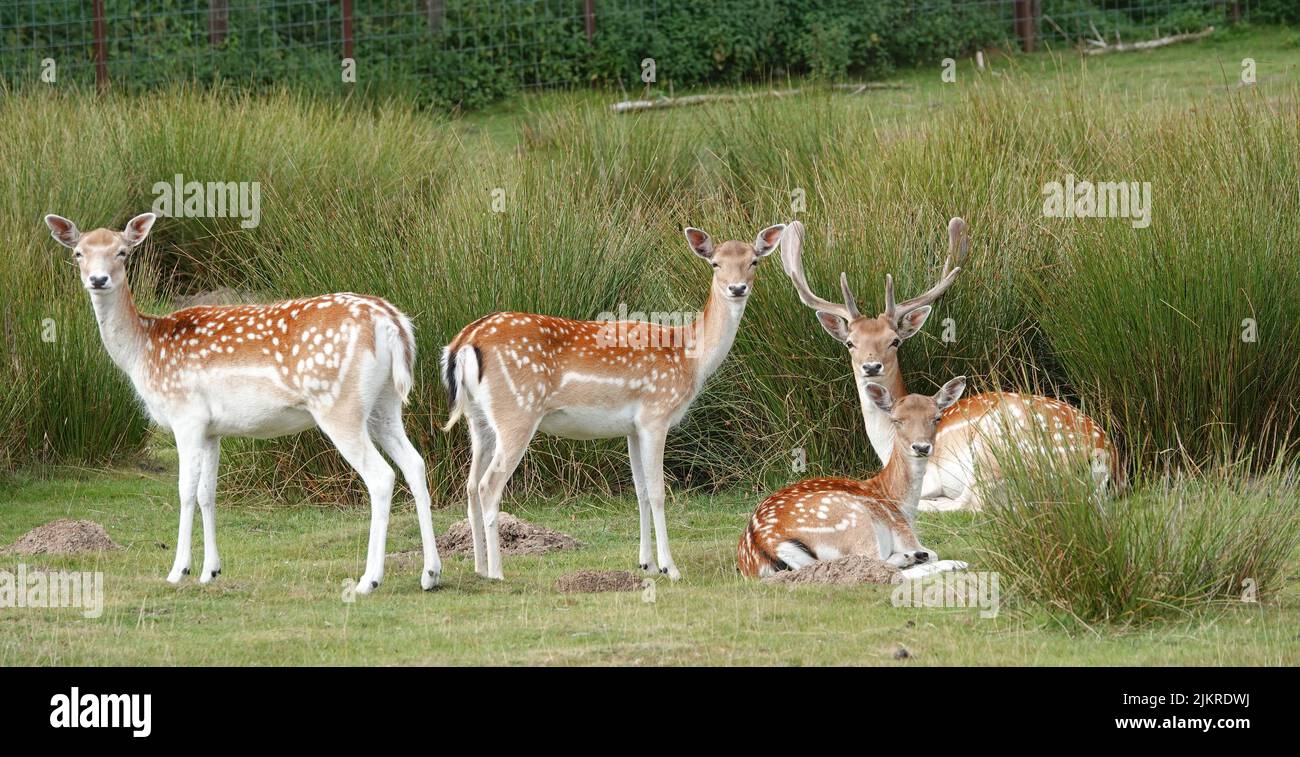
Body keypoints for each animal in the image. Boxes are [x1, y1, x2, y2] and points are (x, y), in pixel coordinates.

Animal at [44, 212, 439, 595]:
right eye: (78, 253)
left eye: (122, 252)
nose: (98, 279)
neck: (143, 350)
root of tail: (393, 324)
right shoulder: (212, 430)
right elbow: (207, 493)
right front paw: (210, 571)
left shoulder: (185, 415)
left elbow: (185, 491)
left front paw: (178, 571)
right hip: (385, 404)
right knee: (415, 464)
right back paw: (430, 574)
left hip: (339, 405)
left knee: (382, 476)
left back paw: (368, 580)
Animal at [442, 224, 786, 581]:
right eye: (715, 263)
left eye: (754, 261)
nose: (737, 288)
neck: (689, 358)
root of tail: (463, 343)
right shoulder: (656, 414)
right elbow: (658, 491)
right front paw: (670, 567)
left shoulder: (633, 428)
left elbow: (641, 491)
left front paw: (646, 563)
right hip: (516, 412)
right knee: (488, 485)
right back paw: (496, 571)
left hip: (478, 419)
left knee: (470, 486)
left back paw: (479, 567)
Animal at [739, 377, 971, 578]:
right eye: (896, 420)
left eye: (937, 417)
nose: (921, 447)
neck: (899, 502)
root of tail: (765, 544)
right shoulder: (903, 532)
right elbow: (933, 552)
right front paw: (924, 556)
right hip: (852, 518)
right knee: (878, 565)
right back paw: (949, 562)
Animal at [779, 217, 1115, 513]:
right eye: (850, 342)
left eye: (894, 340)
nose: (871, 367)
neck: (887, 444)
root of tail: (1102, 455)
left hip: (995, 446)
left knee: (973, 503)